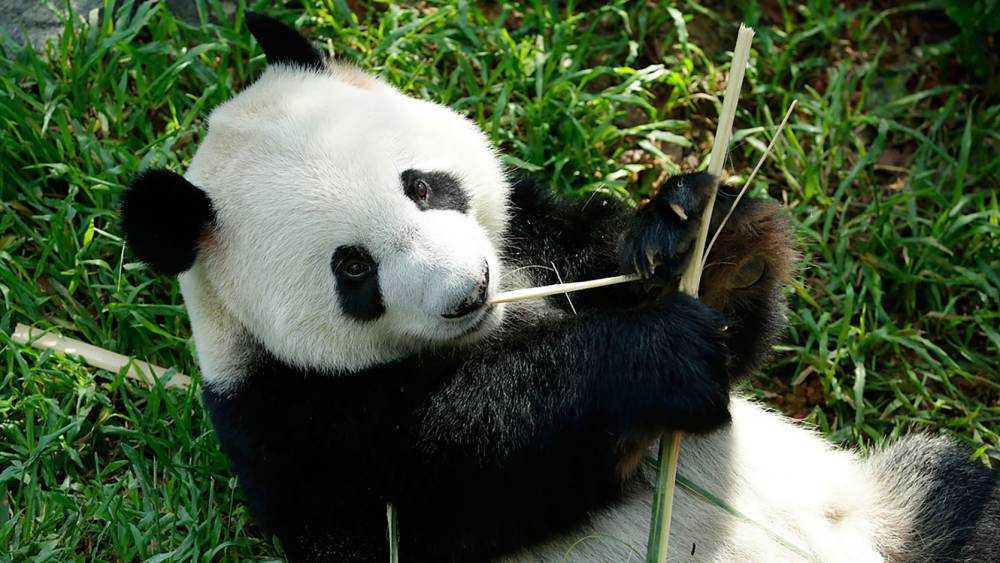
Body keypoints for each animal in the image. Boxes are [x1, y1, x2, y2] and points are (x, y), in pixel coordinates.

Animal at [121, 13, 996, 563]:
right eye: (353, 269)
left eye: (423, 186)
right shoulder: (289, 423)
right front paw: (653, 355)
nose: (468, 287)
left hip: (888, 500)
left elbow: (715, 320)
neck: (498, 321)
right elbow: (457, 479)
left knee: (966, 504)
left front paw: (699, 235)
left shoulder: (541, 242)